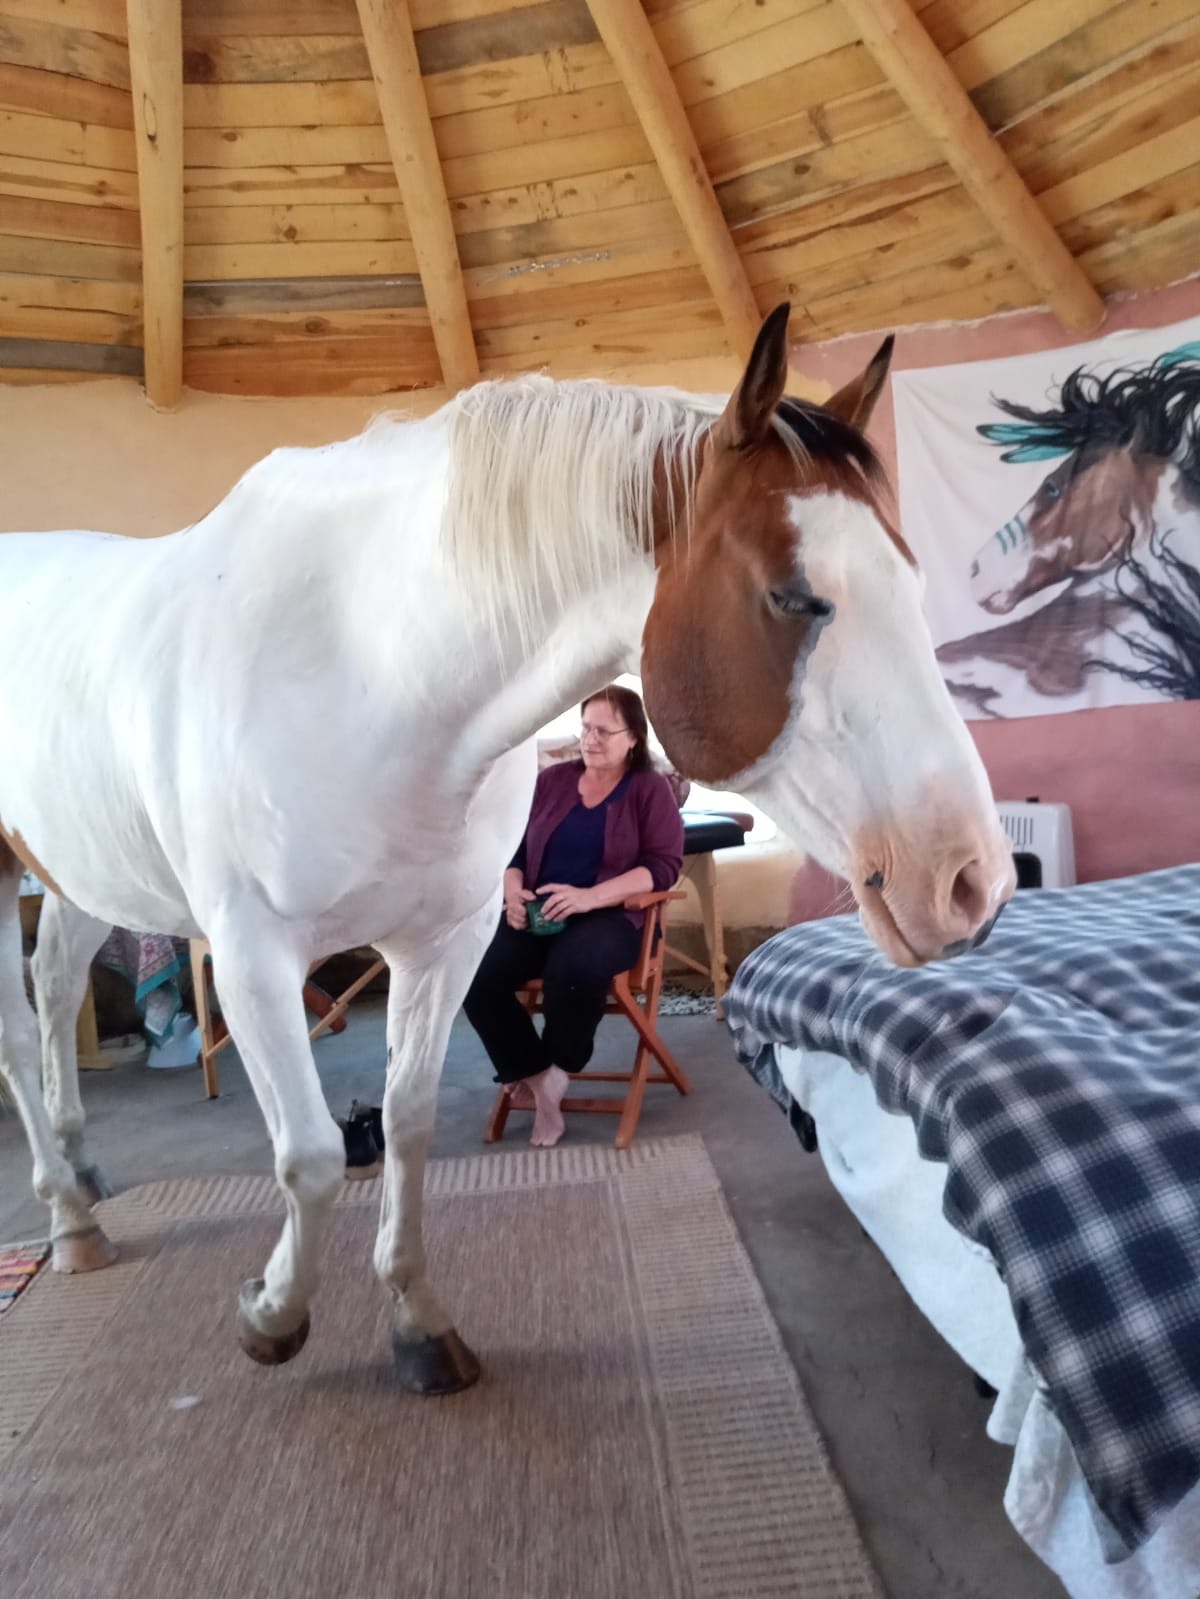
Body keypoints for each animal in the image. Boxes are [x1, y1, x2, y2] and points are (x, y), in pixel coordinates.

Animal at [0, 303, 1015, 1392]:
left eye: (909, 578)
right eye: (791, 595)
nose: (971, 881)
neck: (363, 670)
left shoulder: (443, 945)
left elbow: (405, 1127)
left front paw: (418, 1325)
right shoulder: (251, 957)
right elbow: (312, 1155)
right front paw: (272, 1316)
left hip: (79, 875)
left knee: (56, 986)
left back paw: (84, 1184)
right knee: (20, 1033)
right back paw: (66, 1220)